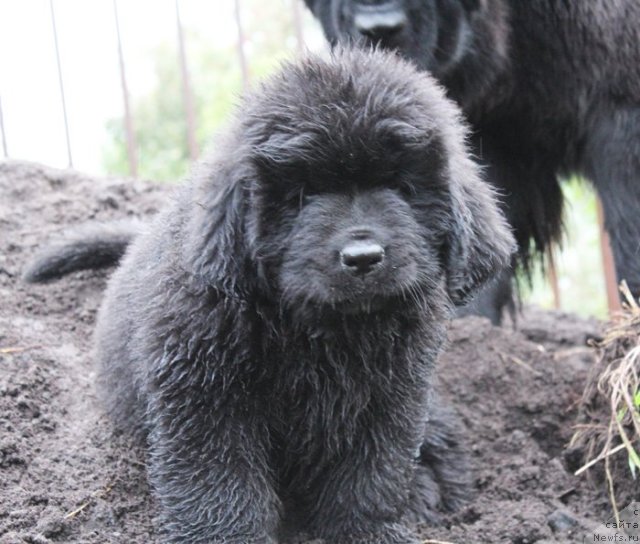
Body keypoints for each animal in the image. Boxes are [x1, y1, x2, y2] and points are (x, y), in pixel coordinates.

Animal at [23, 49, 516, 540]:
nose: (362, 257)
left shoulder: (392, 396)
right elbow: (220, 489)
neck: (323, 331)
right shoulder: (204, 398)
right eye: (302, 195)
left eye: (400, 186)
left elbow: (371, 475)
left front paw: (369, 530)